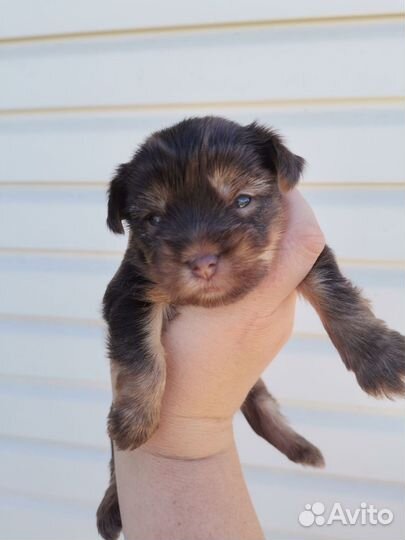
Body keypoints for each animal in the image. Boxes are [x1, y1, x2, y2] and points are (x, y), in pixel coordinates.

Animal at [97, 116, 404, 536]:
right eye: (154, 219)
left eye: (242, 200)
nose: (202, 262)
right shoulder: (130, 291)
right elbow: (141, 352)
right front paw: (136, 419)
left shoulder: (309, 257)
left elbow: (336, 294)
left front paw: (381, 358)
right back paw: (111, 507)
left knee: (263, 408)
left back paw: (304, 450)